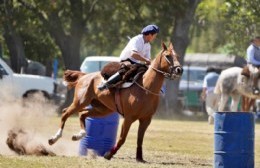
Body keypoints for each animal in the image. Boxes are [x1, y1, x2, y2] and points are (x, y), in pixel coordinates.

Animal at [48, 42, 183, 161]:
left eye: (177, 55)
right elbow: (122, 138)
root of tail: (85, 76)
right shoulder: (128, 118)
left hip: (103, 109)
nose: (179, 70)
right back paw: (54, 138)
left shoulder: (146, 120)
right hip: (80, 102)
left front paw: (139, 158)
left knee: (82, 114)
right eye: (167, 56)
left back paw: (79, 135)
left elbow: (140, 139)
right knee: (65, 113)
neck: (146, 88)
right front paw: (109, 154)